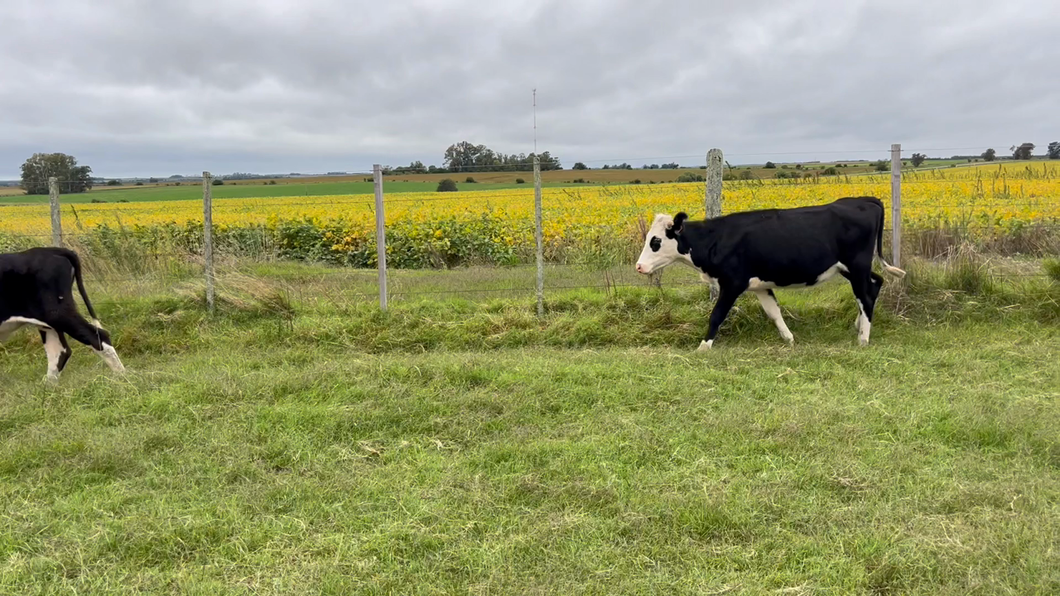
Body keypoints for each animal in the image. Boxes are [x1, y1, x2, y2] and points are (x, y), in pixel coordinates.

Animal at [0, 246, 125, 379]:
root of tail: (51, 250)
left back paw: (121, 377)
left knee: (98, 336)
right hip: (48, 323)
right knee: (59, 352)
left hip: (57, 313)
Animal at [631, 195, 907, 347]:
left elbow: (716, 315)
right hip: (850, 268)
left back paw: (863, 339)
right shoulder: (760, 286)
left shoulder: (732, 283)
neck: (717, 239)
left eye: (655, 241)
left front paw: (703, 347)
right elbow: (774, 313)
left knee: (866, 296)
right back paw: (858, 325)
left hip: (857, 266)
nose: (639, 266)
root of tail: (865, 200)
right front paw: (790, 339)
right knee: (875, 284)